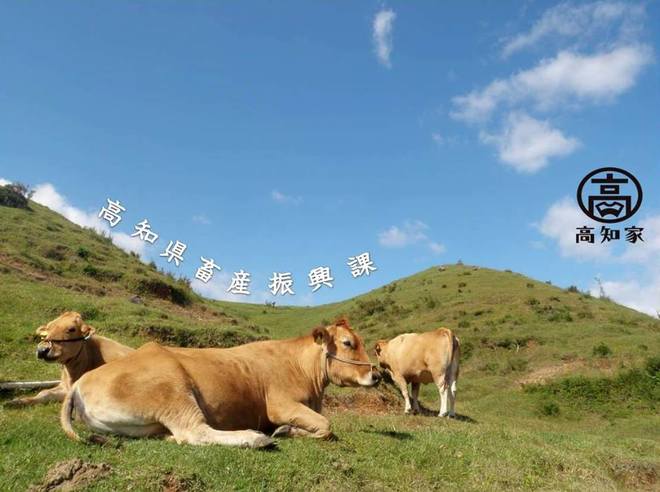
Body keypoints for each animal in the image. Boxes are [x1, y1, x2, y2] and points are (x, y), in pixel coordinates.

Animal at [5, 312, 133, 408]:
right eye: (48, 328)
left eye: (71, 329)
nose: (42, 350)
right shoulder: (64, 386)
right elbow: (44, 392)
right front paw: (18, 401)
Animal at [62, 318, 382, 448]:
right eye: (348, 343)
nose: (377, 375)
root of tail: (81, 382)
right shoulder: (279, 405)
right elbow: (327, 426)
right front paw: (284, 431)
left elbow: (323, 425)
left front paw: (287, 430)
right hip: (172, 389)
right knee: (195, 432)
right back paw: (256, 438)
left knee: (179, 435)